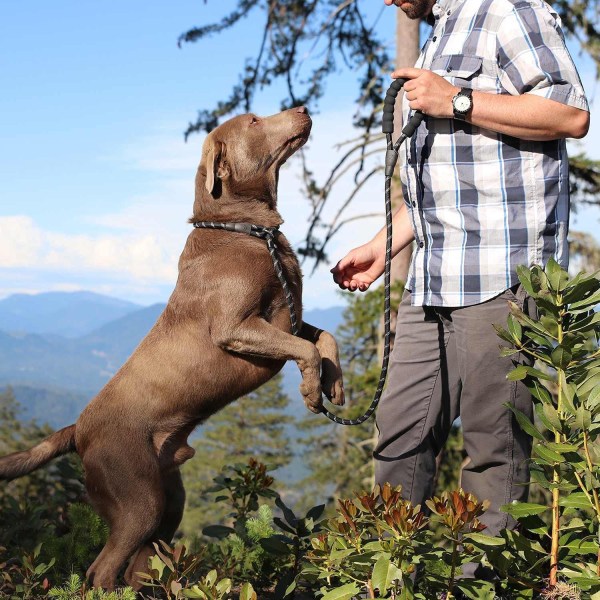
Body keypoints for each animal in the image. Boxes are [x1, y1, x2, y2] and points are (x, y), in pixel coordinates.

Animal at [0, 108, 344, 592]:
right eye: (255, 121)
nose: (304, 109)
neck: (247, 230)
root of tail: (79, 429)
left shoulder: (288, 317)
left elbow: (325, 339)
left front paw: (334, 385)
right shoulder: (239, 327)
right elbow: (306, 349)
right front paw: (313, 391)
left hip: (168, 503)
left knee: (142, 565)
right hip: (139, 500)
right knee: (101, 569)